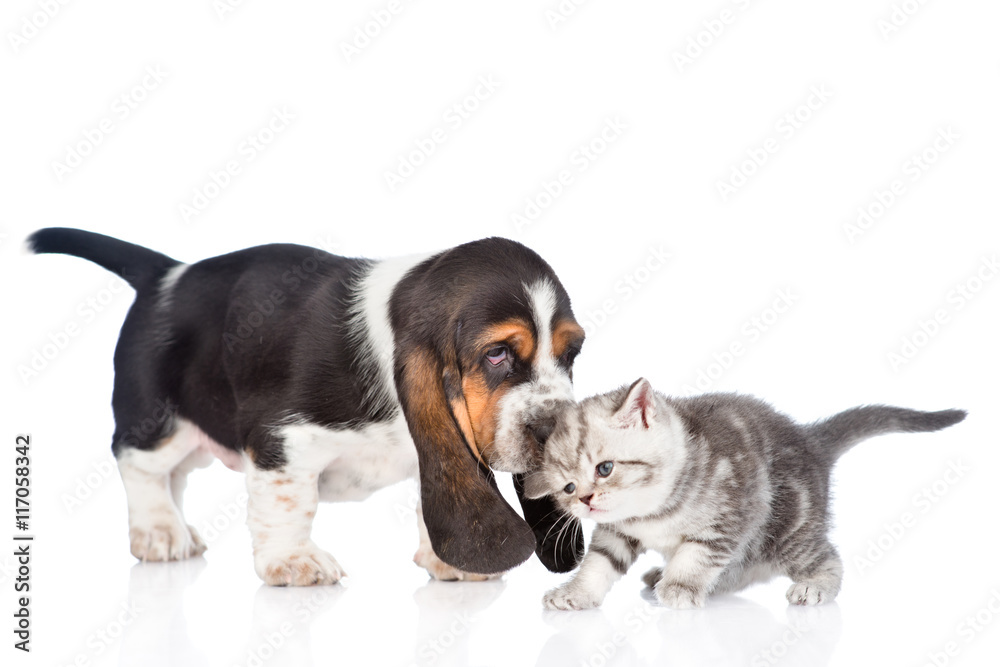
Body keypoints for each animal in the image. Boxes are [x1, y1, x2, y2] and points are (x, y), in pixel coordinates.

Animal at [27, 228, 584, 584]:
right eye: (497, 354)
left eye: (572, 352)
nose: (561, 433)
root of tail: (168, 273)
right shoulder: (282, 439)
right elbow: (291, 502)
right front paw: (292, 563)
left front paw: (451, 563)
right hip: (160, 423)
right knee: (139, 466)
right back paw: (159, 532)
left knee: (176, 477)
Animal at [528, 378, 964, 608]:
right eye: (567, 487)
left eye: (605, 468)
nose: (585, 500)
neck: (651, 510)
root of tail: (811, 440)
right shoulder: (616, 532)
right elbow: (599, 563)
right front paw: (576, 593)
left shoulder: (730, 517)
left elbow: (697, 556)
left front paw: (680, 588)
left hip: (786, 528)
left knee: (826, 557)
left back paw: (815, 585)